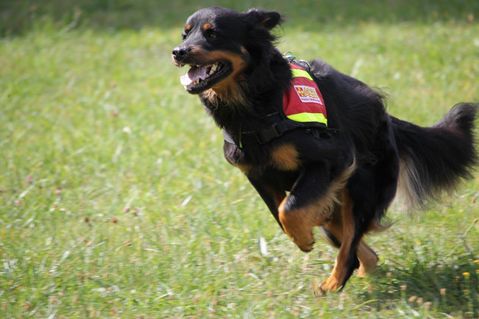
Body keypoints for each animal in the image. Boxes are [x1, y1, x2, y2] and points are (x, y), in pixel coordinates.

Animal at [171, 6, 478, 296]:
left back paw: (332, 284)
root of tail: (388, 119)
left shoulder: (334, 157)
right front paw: (301, 236)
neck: (257, 102)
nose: (178, 52)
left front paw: (304, 239)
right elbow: (280, 213)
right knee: (359, 248)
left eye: (213, 34)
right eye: (185, 34)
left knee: (350, 244)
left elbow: (289, 209)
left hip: (362, 187)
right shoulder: (257, 174)